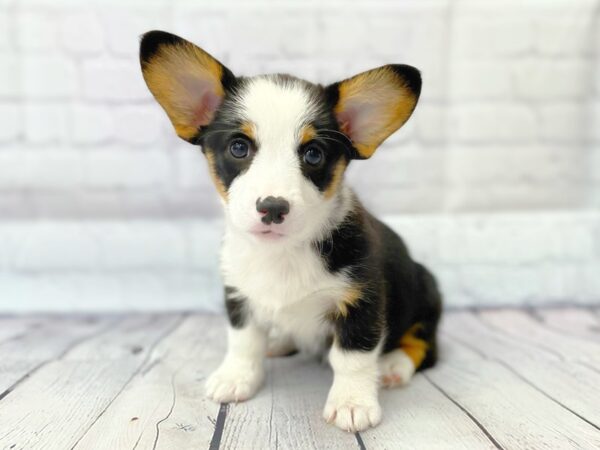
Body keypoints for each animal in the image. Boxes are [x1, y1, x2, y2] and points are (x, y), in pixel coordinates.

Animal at [139, 31, 440, 432]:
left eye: (313, 154)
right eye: (238, 147)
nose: (272, 207)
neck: (281, 253)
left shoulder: (362, 300)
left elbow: (352, 356)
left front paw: (352, 403)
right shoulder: (239, 295)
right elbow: (243, 341)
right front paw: (236, 378)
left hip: (426, 291)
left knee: (425, 344)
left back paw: (393, 366)